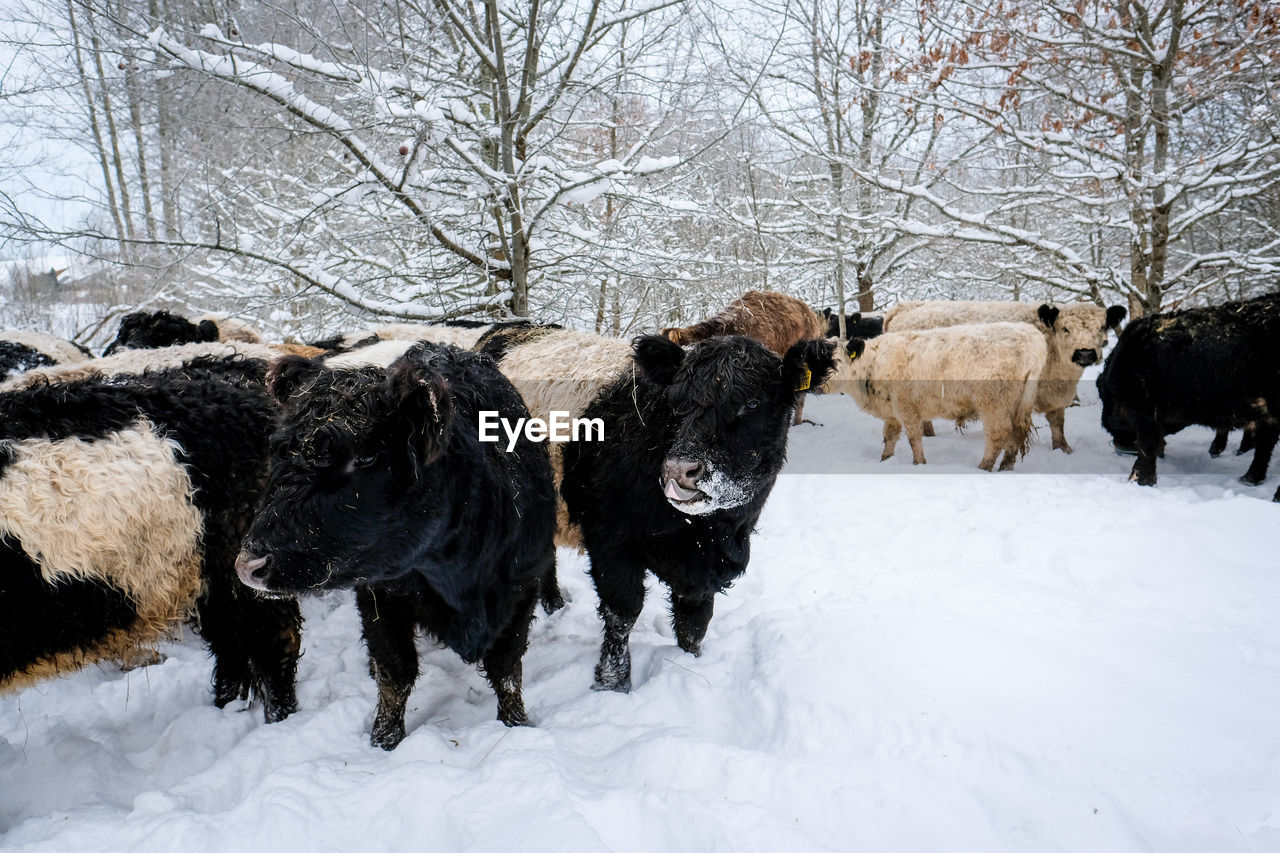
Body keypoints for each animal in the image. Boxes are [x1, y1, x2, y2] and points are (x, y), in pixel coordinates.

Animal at [238, 343, 558, 747]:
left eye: (366, 457)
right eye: (279, 453)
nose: (248, 565)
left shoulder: (521, 586)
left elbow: (507, 668)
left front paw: (516, 725)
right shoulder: (380, 594)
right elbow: (396, 672)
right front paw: (383, 741)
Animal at [829, 322, 1049, 468]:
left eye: (835, 361)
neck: (874, 364)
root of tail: (1031, 337)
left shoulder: (907, 407)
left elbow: (914, 438)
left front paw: (919, 463)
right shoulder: (892, 412)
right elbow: (889, 437)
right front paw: (885, 460)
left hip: (993, 402)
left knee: (999, 434)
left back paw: (984, 467)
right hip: (1018, 404)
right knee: (1015, 434)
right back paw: (1005, 466)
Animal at [885, 297, 1126, 448]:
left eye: (1101, 328)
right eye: (1065, 329)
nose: (1085, 353)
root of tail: (906, 307)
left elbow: (1057, 423)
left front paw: (1063, 449)